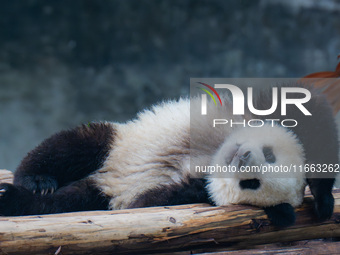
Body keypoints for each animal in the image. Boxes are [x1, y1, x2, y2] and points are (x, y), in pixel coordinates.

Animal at [0, 81, 338, 227]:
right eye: (269, 155)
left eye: (251, 183)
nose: (241, 157)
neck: (211, 157)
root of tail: (104, 178)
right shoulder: (248, 111)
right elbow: (304, 109)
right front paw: (324, 200)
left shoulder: (183, 193)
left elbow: (150, 201)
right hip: (116, 142)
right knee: (72, 145)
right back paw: (37, 180)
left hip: (98, 195)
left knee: (63, 202)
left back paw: (17, 198)